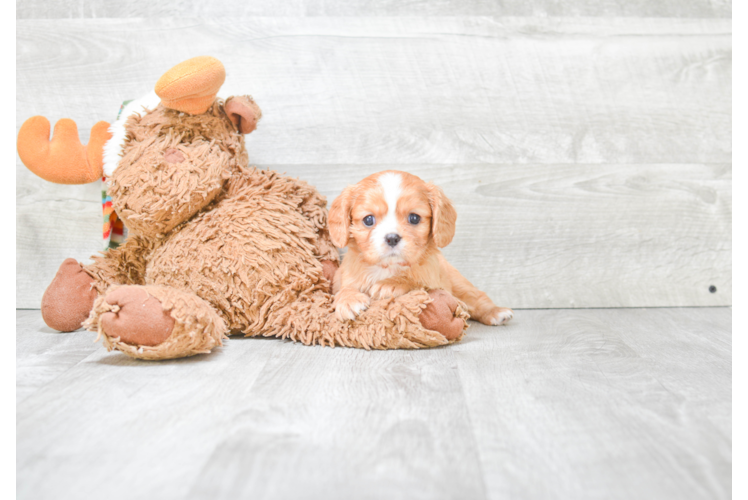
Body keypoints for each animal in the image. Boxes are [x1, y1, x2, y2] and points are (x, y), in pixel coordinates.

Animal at [328, 171, 516, 328]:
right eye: (368, 220)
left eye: (414, 218)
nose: (392, 238)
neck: (389, 268)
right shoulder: (347, 276)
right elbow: (345, 288)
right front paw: (348, 299)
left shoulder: (433, 280)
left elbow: (416, 280)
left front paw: (391, 284)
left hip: (459, 282)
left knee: (476, 297)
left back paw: (496, 312)